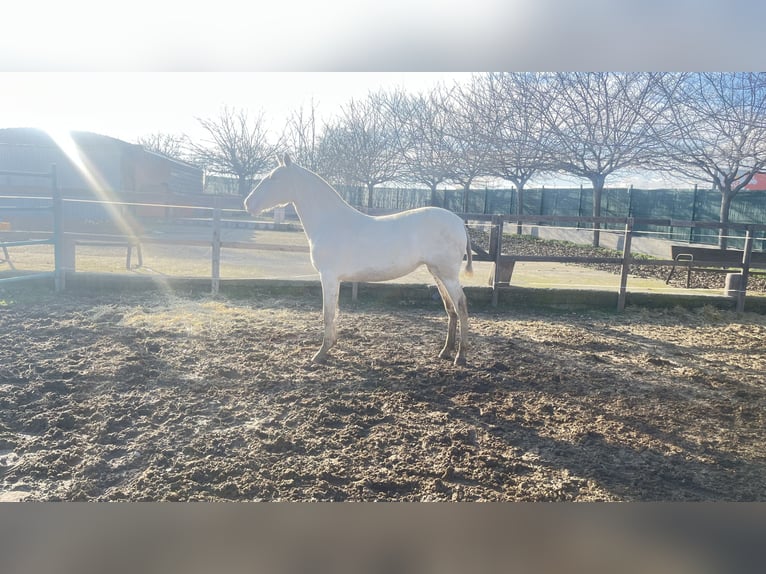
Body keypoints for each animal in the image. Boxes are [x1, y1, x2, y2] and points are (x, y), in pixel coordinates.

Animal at [244, 154, 473, 366]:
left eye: (274, 178)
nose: (248, 203)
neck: (330, 221)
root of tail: (459, 222)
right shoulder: (334, 279)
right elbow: (334, 313)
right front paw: (330, 346)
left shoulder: (328, 277)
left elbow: (328, 314)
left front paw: (320, 354)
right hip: (436, 273)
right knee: (450, 308)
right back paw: (445, 351)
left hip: (448, 275)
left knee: (461, 305)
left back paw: (460, 356)